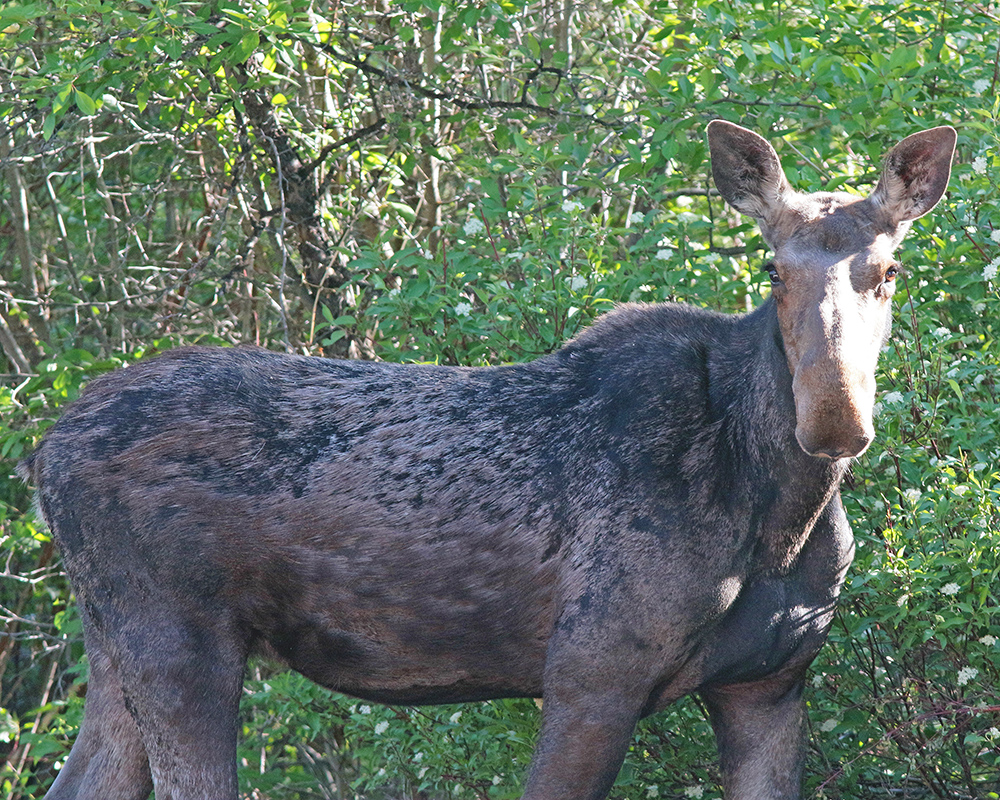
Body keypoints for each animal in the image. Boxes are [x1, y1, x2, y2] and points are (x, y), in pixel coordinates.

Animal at [23, 120, 956, 800]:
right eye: (771, 269)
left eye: (891, 269)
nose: (833, 415)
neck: (782, 516)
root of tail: (42, 458)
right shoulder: (590, 674)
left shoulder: (769, 684)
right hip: (177, 635)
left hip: (114, 645)